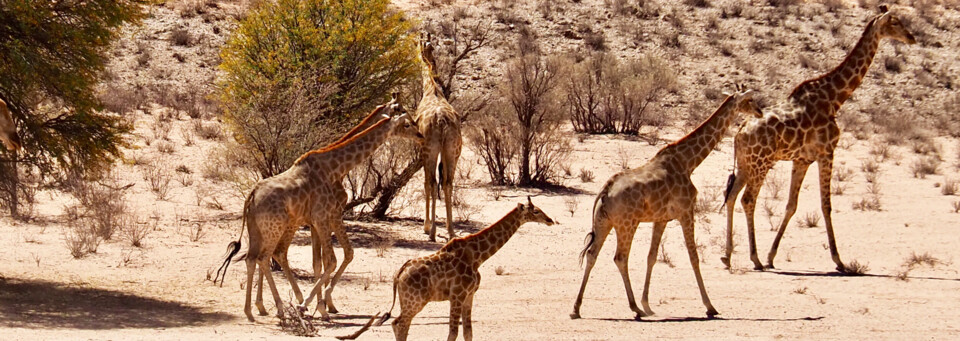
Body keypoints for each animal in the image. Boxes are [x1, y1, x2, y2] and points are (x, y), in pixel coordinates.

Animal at [216, 96, 422, 322]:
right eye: (406, 122)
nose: (420, 134)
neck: (337, 168)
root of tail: (251, 196)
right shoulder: (329, 216)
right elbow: (337, 258)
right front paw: (317, 306)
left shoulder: (316, 221)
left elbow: (319, 262)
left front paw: (319, 305)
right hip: (276, 227)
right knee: (267, 257)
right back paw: (280, 308)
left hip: (259, 229)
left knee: (254, 258)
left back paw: (253, 310)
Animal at [568, 85, 764, 318]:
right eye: (750, 100)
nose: (760, 111)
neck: (688, 162)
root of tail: (605, 191)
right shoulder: (686, 211)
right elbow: (693, 257)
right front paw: (710, 307)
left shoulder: (661, 219)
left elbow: (651, 257)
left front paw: (647, 304)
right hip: (627, 224)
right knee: (620, 257)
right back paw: (634, 308)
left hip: (604, 222)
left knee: (592, 254)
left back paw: (577, 308)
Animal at [720, 5, 916, 272]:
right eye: (895, 22)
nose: (912, 37)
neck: (834, 98)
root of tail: (739, 133)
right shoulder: (827, 153)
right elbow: (826, 205)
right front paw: (839, 261)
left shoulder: (802, 160)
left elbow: (791, 205)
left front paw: (772, 256)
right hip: (761, 163)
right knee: (748, 200)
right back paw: (755, 259)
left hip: (745, 164)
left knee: (731, 197)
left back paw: (728, 256)